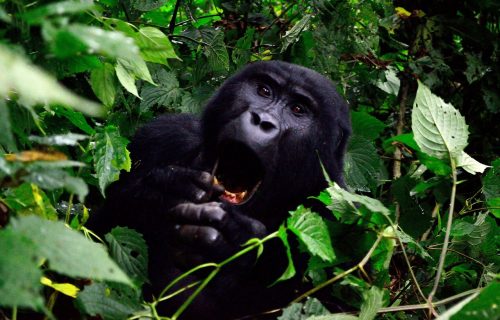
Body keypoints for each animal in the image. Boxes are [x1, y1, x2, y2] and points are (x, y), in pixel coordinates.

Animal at [94, 61, 352, 318]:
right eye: (264, 91)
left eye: (298, 109)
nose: (262, 120)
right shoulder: (160, 134)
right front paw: (157, 196)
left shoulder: (335, 214)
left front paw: (235, 239)